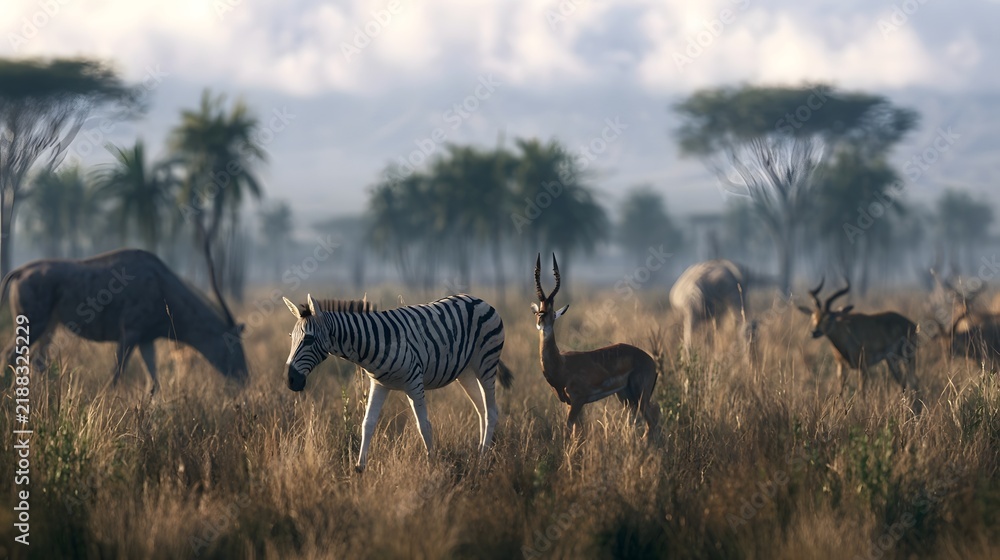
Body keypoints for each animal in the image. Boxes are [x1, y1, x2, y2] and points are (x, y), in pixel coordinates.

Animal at [282, 293, 513, 472]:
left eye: (309, 339)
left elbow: (424, 426)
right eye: (291, 337)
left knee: (491, 411)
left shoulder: (414, 383)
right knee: (482, 409)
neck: (374, 344)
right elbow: (368, 423)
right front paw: (360, 467)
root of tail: (480, 300)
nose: (289, 380)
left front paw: (432, 464)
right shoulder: (379, 384)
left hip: (486, 364)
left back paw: (483, 459)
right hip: (465, 372)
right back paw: (481, 451)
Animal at [532, 253, 660, 435]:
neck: (562, 365)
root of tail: (650, 361)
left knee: (653, 420)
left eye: (551, 312)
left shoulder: (578, 401)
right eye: (538, 311)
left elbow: (569, 429)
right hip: (626, 396)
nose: (541, 320)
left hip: (640, 396)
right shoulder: (570, 403)